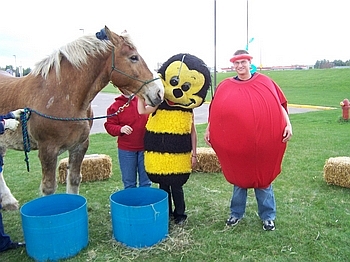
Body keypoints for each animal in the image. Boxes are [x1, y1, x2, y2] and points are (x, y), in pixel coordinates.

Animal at [0, 25, 164, 210]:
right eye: (133, 57)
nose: (159, 92)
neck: (61, 96)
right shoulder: (47, 150)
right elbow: (48, 188)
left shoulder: (80, 146)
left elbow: (74, 179)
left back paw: (8, 201)